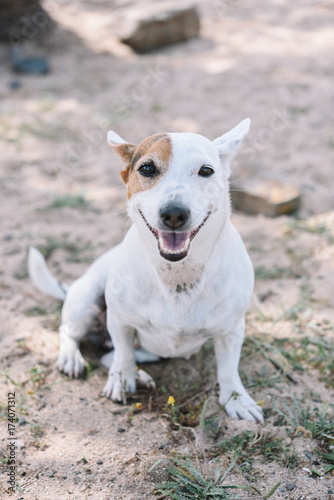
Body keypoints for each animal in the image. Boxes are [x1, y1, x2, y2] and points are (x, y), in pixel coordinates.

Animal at [28, 120, 264, 422]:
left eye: (206, 171)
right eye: (147, 168)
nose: (174, 213)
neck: (177, 274)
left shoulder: (232, 331)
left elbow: (228, 370)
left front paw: (236, 399)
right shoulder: (119, 321)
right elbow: (124, 353)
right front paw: (122, 379)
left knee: (109, 356)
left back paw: (141, 376)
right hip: (85, 300)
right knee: (71, 333)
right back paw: (73, 358)